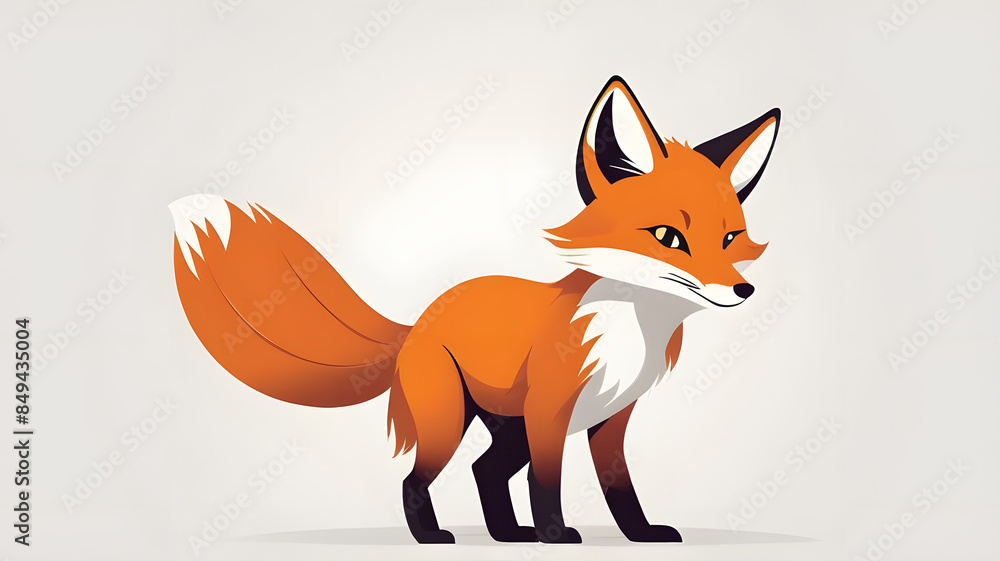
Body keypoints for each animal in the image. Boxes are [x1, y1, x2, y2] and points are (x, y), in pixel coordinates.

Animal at [170, 76, 780, 544]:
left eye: (730, 239)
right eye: (668, 237)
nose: (743, 290)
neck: (629, 329)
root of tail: (421, 320)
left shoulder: (612, 419)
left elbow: (619, 489)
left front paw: (642, 535)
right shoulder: (551, 412)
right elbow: (547, 485)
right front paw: (557, 536)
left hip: (506, 429)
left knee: (483, 470)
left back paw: (508, 535)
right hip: (453, 422)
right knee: (418, 479)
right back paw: (434, 538)